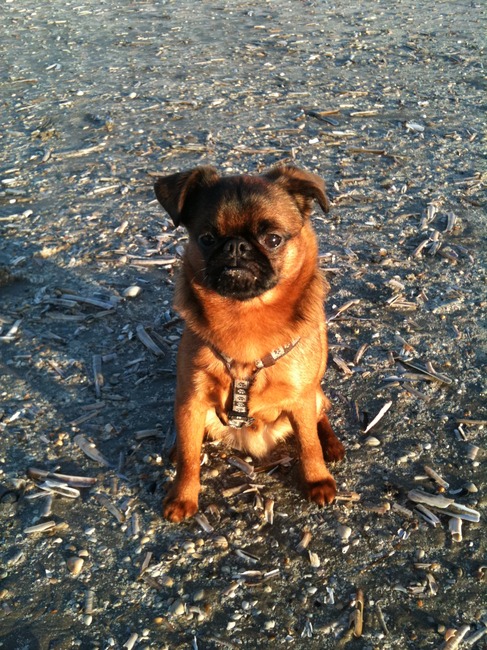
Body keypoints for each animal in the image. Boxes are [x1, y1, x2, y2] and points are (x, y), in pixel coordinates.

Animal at [154, 165, 346, 520]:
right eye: (207, 238)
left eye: (273, 240)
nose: (236, 247)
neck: (245, 314)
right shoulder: (191, 400)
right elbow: (189, 457)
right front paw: (182, 496)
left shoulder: (301, 399)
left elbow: (308, 444)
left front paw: (317, 479)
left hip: (314, 395)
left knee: (321, 417)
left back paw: (332, 445)